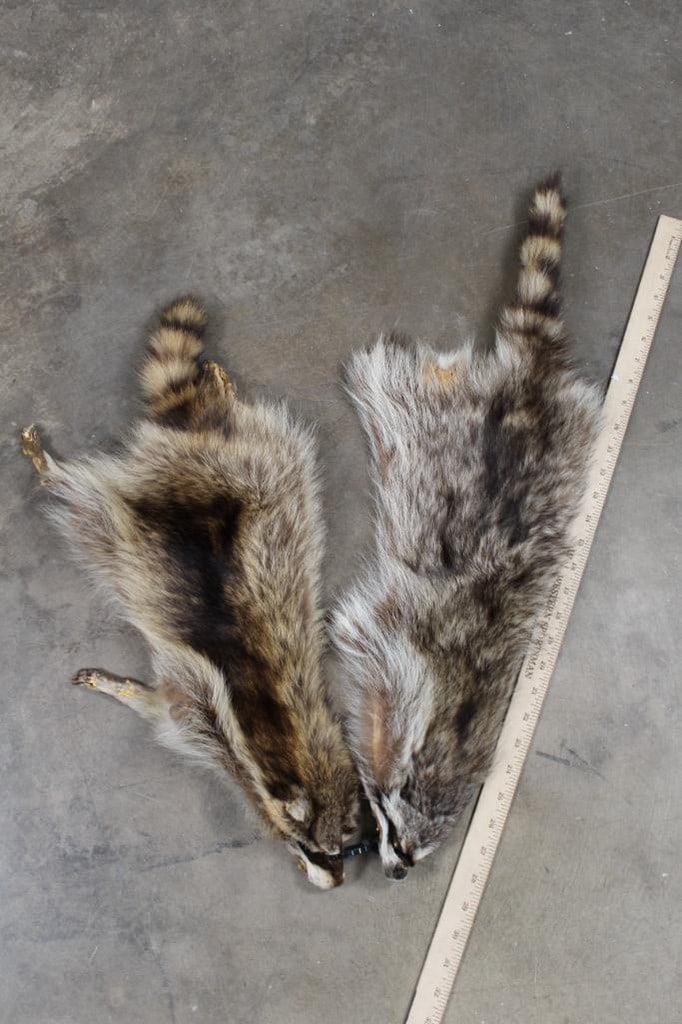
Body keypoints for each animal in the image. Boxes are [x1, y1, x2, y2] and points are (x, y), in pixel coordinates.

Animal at [21, 298, 358, 889]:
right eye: (318, 849)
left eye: (345, 849)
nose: (338, 883)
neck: (288, 753)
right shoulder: (209, 705)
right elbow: (169, 706)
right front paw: (123, 689)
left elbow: (161, 706)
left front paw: (122, 689)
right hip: (237, 474)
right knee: (90, 507)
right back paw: (56, 470)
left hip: (242, 472)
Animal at [331, 177, 602, 879]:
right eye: (396, 835)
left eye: (416, 852)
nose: (396, 873)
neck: (458, 711)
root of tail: (529, 391)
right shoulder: (400, 641)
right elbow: (361, 631)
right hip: (439, 419)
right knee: (394, 376)